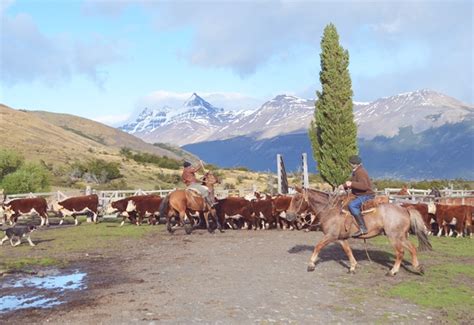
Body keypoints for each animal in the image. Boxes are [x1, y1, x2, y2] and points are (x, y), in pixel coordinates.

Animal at [286, 187, 434, 276]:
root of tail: (405, 208)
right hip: (401, 236)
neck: (330, 210)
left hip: (394, 237)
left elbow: (318, 246)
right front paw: (352, 266)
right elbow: (348, 251)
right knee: (412, 248)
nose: (288, 216)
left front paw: (311, 264)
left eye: (297, 199)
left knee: (400, 252)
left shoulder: (331, 236)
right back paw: (418, 267)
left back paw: (393, 271)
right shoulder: (341, 238)